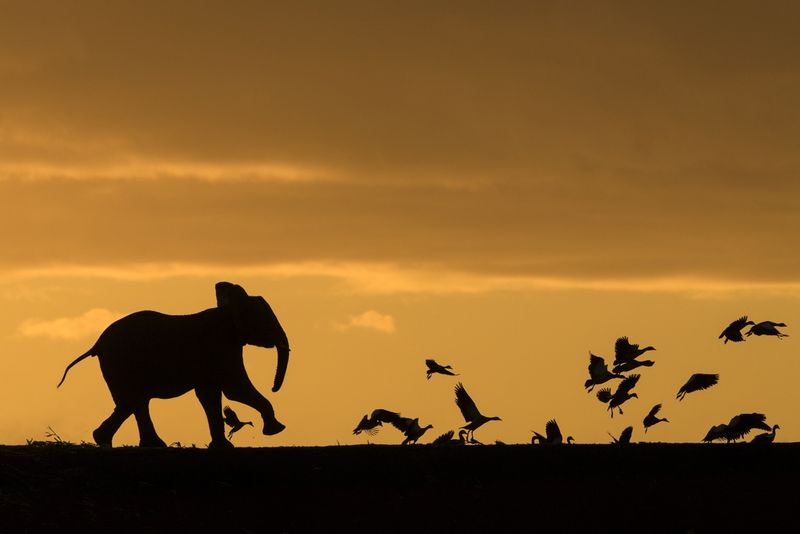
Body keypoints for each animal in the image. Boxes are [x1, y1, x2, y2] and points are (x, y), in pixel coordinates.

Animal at [57, 282, 290, 449]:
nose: (273, 387)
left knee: (133, 402)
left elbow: (210, 394)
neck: (228, 309)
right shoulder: (221, 346)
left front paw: (222, 447)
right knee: (133, 400)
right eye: (267, 321)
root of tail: (97, 343)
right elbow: (234, 389)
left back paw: (114, 441)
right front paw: (277, 430)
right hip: (121, 362)